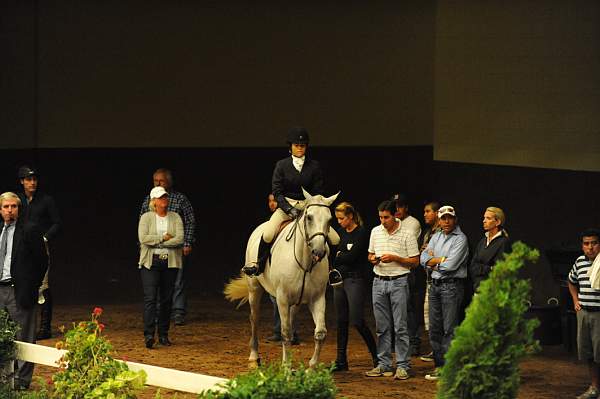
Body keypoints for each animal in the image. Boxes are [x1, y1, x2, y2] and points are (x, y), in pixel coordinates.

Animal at [225, 189, 340, 370]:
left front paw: (311, 368)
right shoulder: (282, 298)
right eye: (309, 217)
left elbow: (320, 333)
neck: (305, 261)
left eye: (330, 219)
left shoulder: (317, 298)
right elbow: (285, 332)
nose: (319, 252)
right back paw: (254, 358)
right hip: (254, 289)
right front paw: (286, 366)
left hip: (297, 301)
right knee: (254, 319)